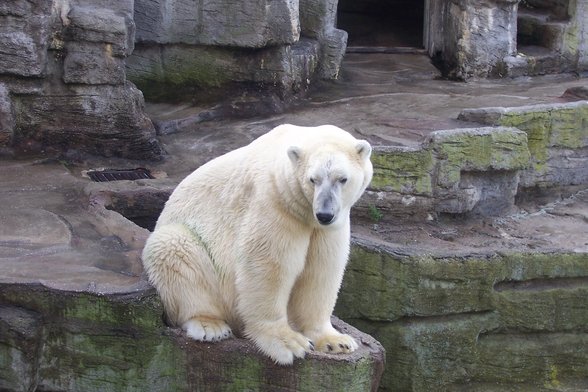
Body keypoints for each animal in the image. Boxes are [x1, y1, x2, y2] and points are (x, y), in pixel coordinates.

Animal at [142, 123, 372, 364]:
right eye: (313, 179)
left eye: (342, 179)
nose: (325, 214)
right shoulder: (275, 202)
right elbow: (268, 265)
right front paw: (290, 343)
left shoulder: (328, 226)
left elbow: (321, 269)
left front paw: (337, 341)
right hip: (186, 241)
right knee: (174, 248)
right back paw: (210, 326)